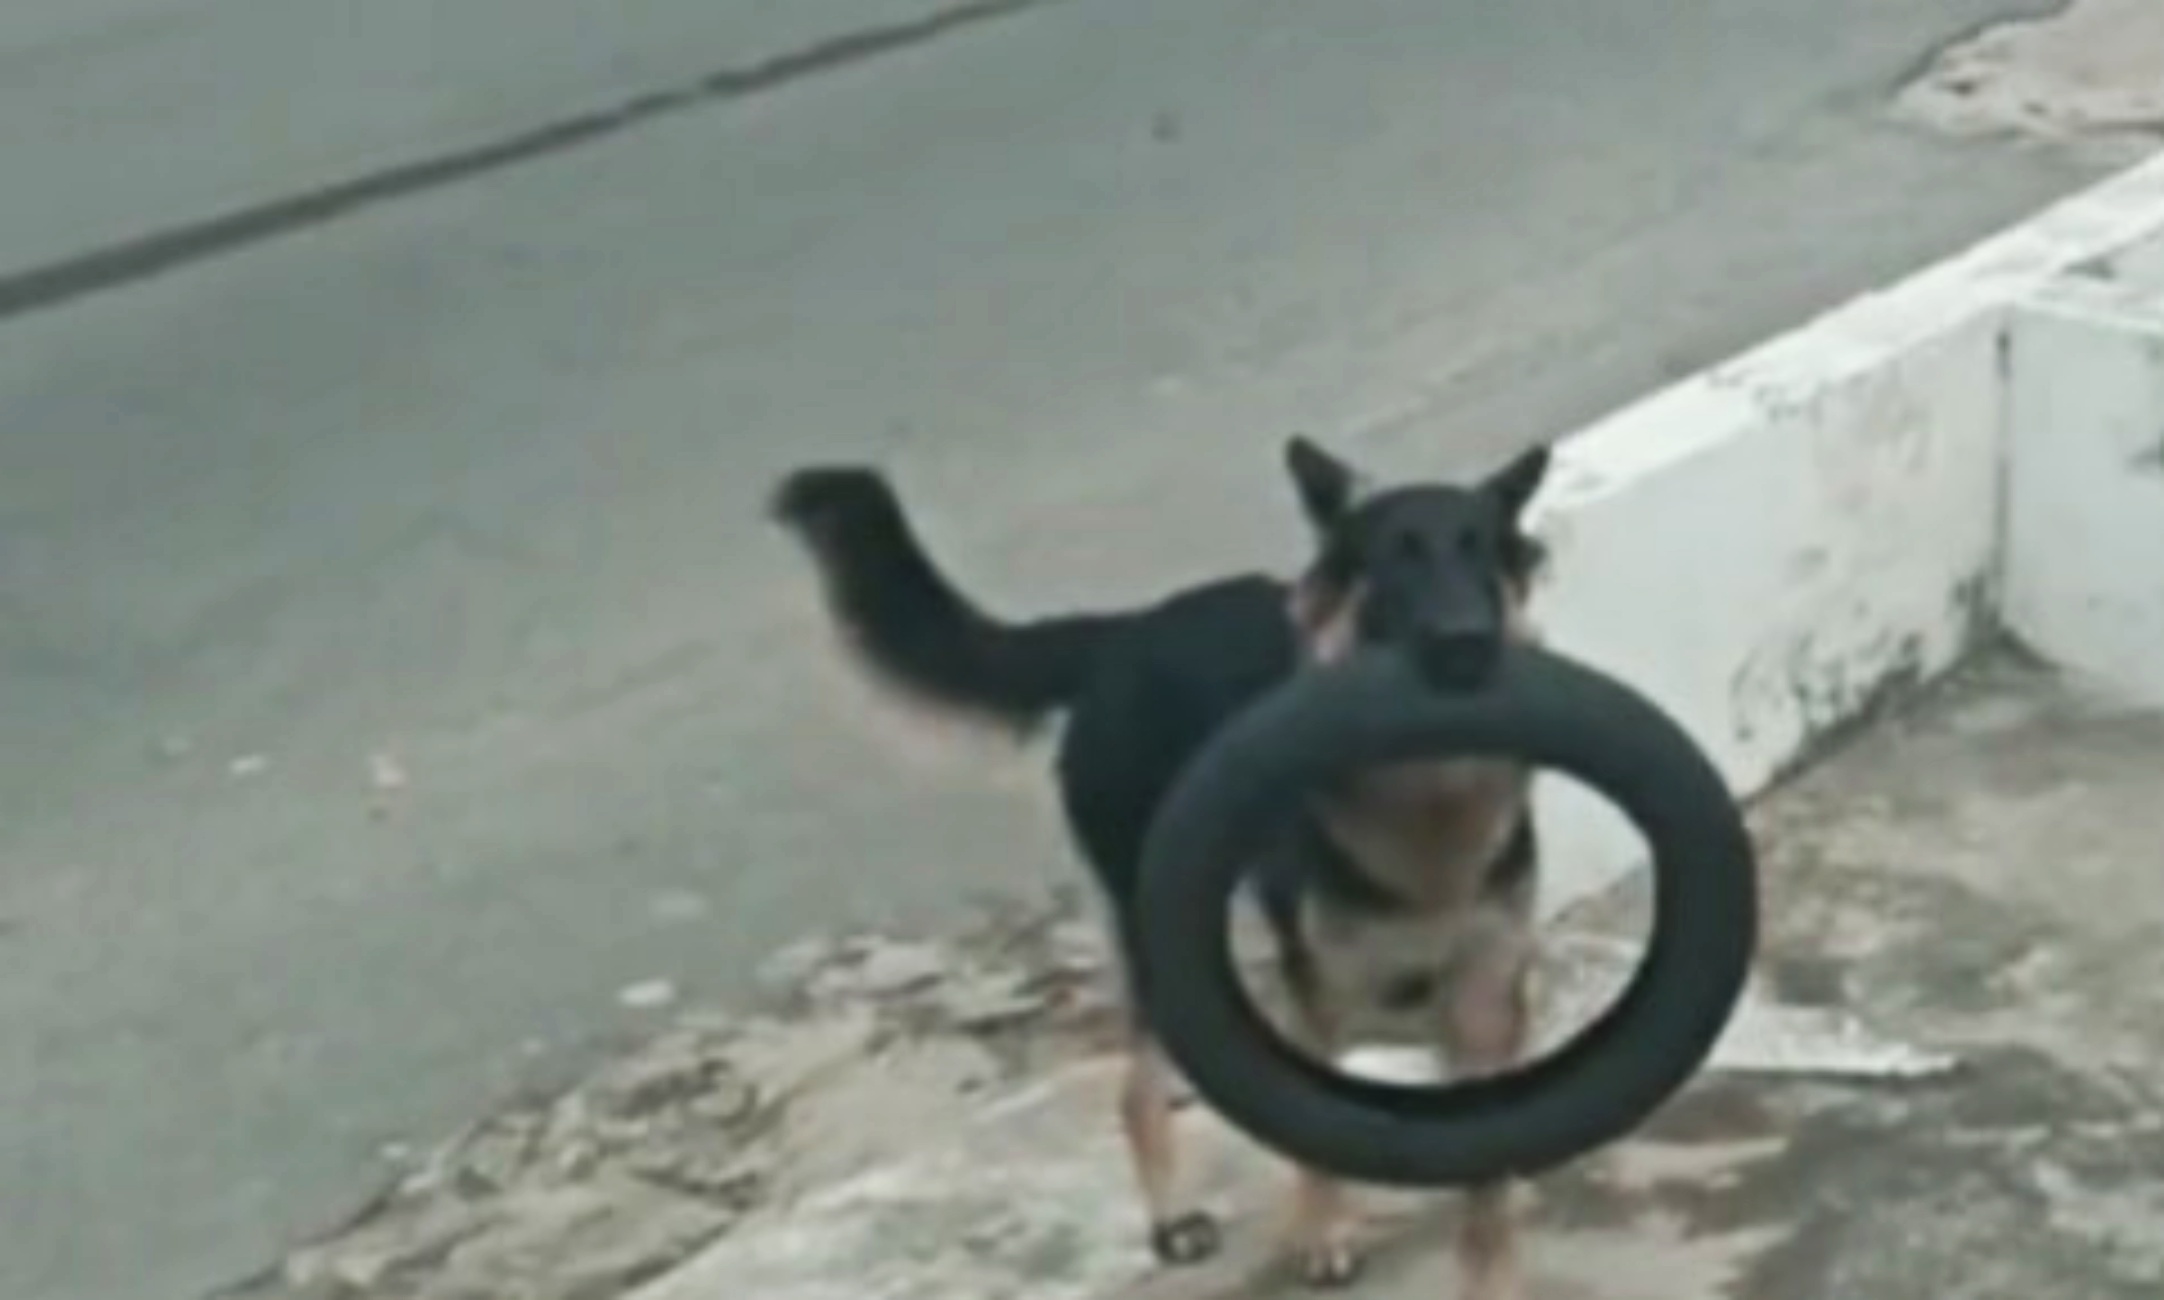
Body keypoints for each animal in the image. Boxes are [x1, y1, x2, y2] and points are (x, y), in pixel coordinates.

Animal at [770, 439, 1549, 1297]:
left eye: (1480, 556)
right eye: (1395, 562)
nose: (1468, 644)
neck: (1429, 808)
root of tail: (1122, 633)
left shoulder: (1486, 993)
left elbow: (1488, 1171)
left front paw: (1495, 1264)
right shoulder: (1320, 992)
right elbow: (1316, 1132)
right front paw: (1322, 1230)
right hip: (1159, 939)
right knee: (1135, 1088)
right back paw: (1172, 1218)